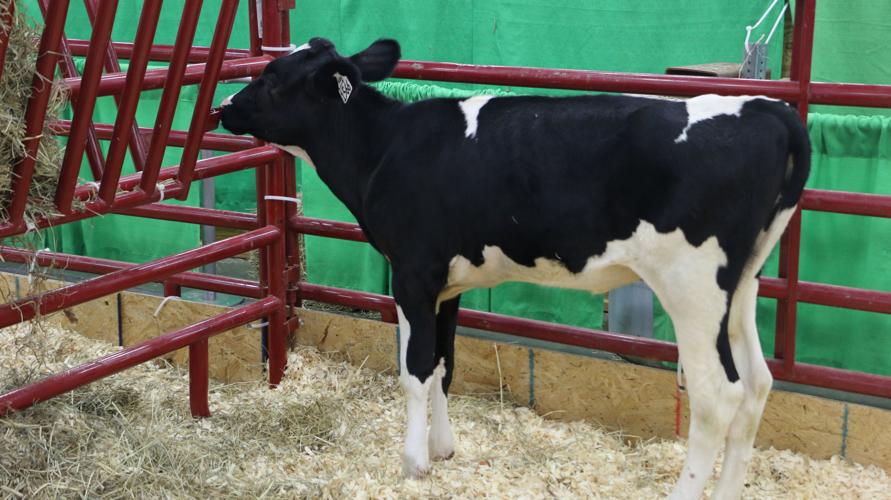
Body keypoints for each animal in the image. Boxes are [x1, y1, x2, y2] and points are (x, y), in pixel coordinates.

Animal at [219, 37, 810, 499]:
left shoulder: (412, 272)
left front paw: (413, 462)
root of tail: (766, 110)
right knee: (757, 385)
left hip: (694, 286)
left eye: (273, 78)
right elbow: (444, 362)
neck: (384, 148)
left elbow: (415, 367)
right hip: (743, 284)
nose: (224, 106)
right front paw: (443, 448)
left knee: (718, 395)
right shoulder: (448, 283)